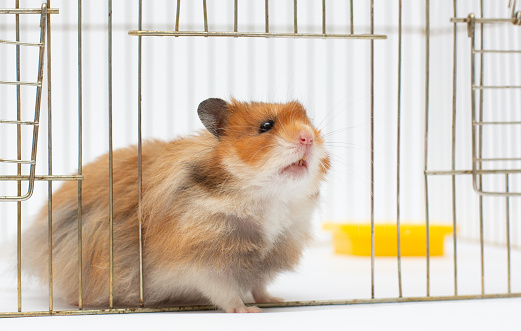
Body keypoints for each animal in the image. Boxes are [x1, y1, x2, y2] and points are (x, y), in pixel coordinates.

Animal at [23, 98, 330, 314]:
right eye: (266, 126)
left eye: (311, 123)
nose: (308, 137)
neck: (267, 200)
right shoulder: (201, 261)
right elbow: (225, 292)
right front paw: (249, 311)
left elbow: (259, 284)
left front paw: (275, 299)